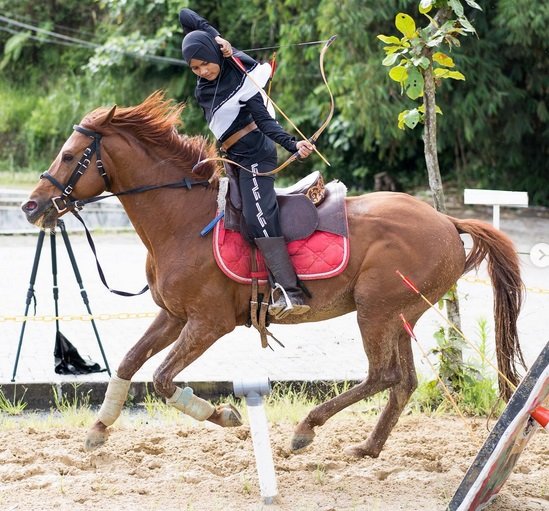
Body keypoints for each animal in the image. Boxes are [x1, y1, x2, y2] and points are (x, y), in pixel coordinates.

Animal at [21, 90, 524, 458]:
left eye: (70, 156)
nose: (31, 206)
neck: (182, 220)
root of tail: (446, 221)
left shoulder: (208, 323)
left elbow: (162, 379)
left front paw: (223, 416)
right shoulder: (174, 316)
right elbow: (128, 363)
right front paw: (99, 428)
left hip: (376, 311)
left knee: (382, 376)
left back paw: (307, 429)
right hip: (400, 315)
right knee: (403, 383)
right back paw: (367, 447)